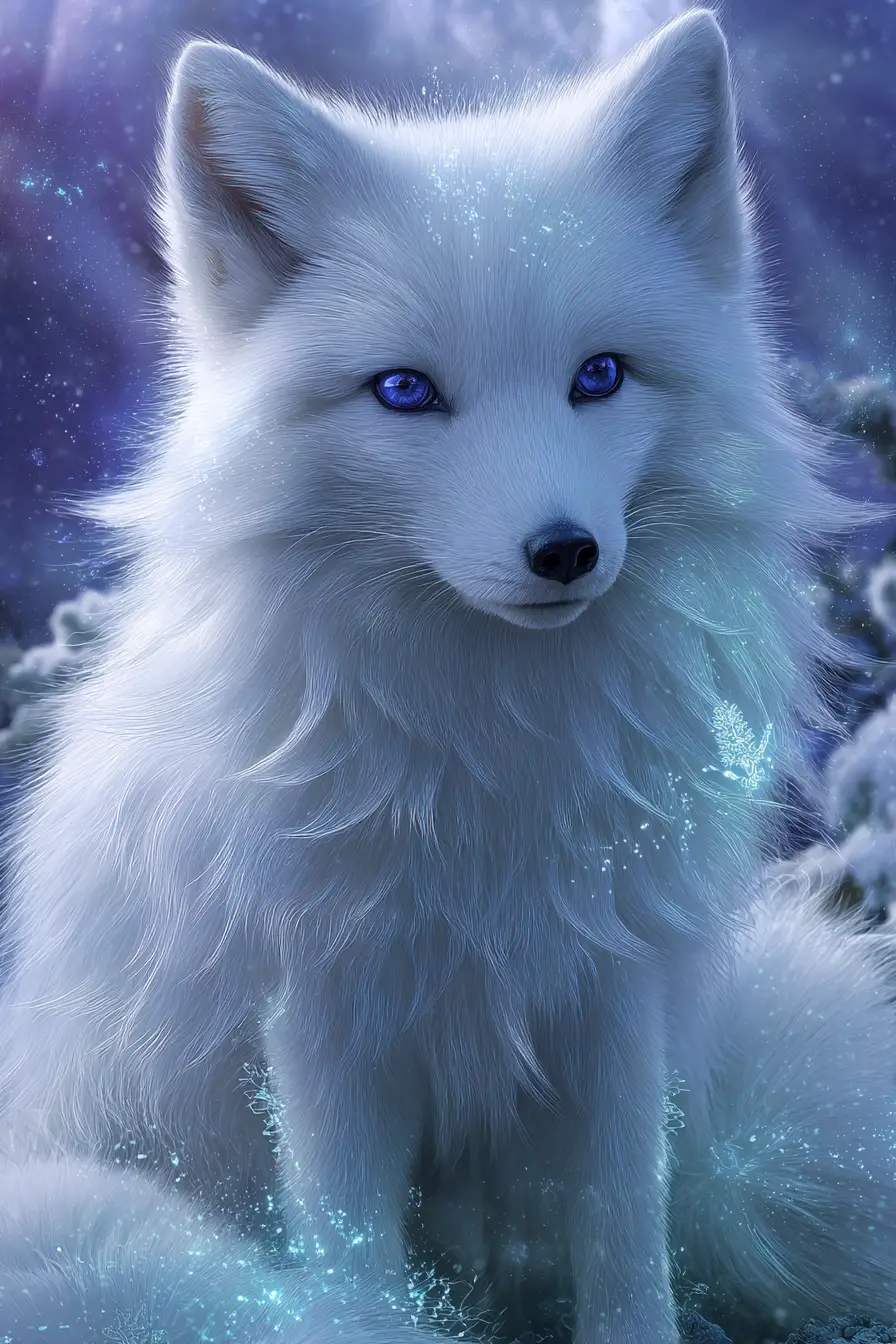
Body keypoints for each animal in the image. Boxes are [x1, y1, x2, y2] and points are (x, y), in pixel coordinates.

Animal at [0, 10, 895, 1344]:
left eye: (598, 375)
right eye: (404, 391)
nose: (563, 552)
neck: (489, 751)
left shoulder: (612, 990)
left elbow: (625, 1235)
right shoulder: (319, 1019)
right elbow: (351, 1258)